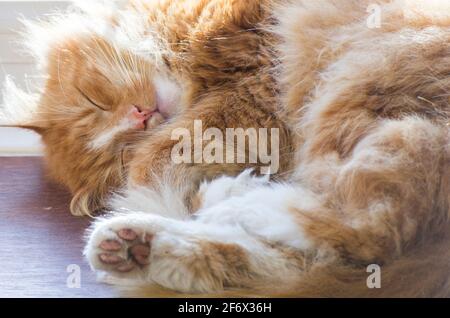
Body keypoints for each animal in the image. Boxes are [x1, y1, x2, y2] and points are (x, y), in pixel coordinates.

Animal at [0, 0, 450, 298]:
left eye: (92, 98)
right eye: (120, 148)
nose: (142, 117)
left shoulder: (253, 75)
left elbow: (157, 159)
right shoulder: (250, 100)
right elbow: (159, 159)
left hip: (361, 80)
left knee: (366, 229)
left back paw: (227, 203)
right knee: (345, 241)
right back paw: (143, 242)